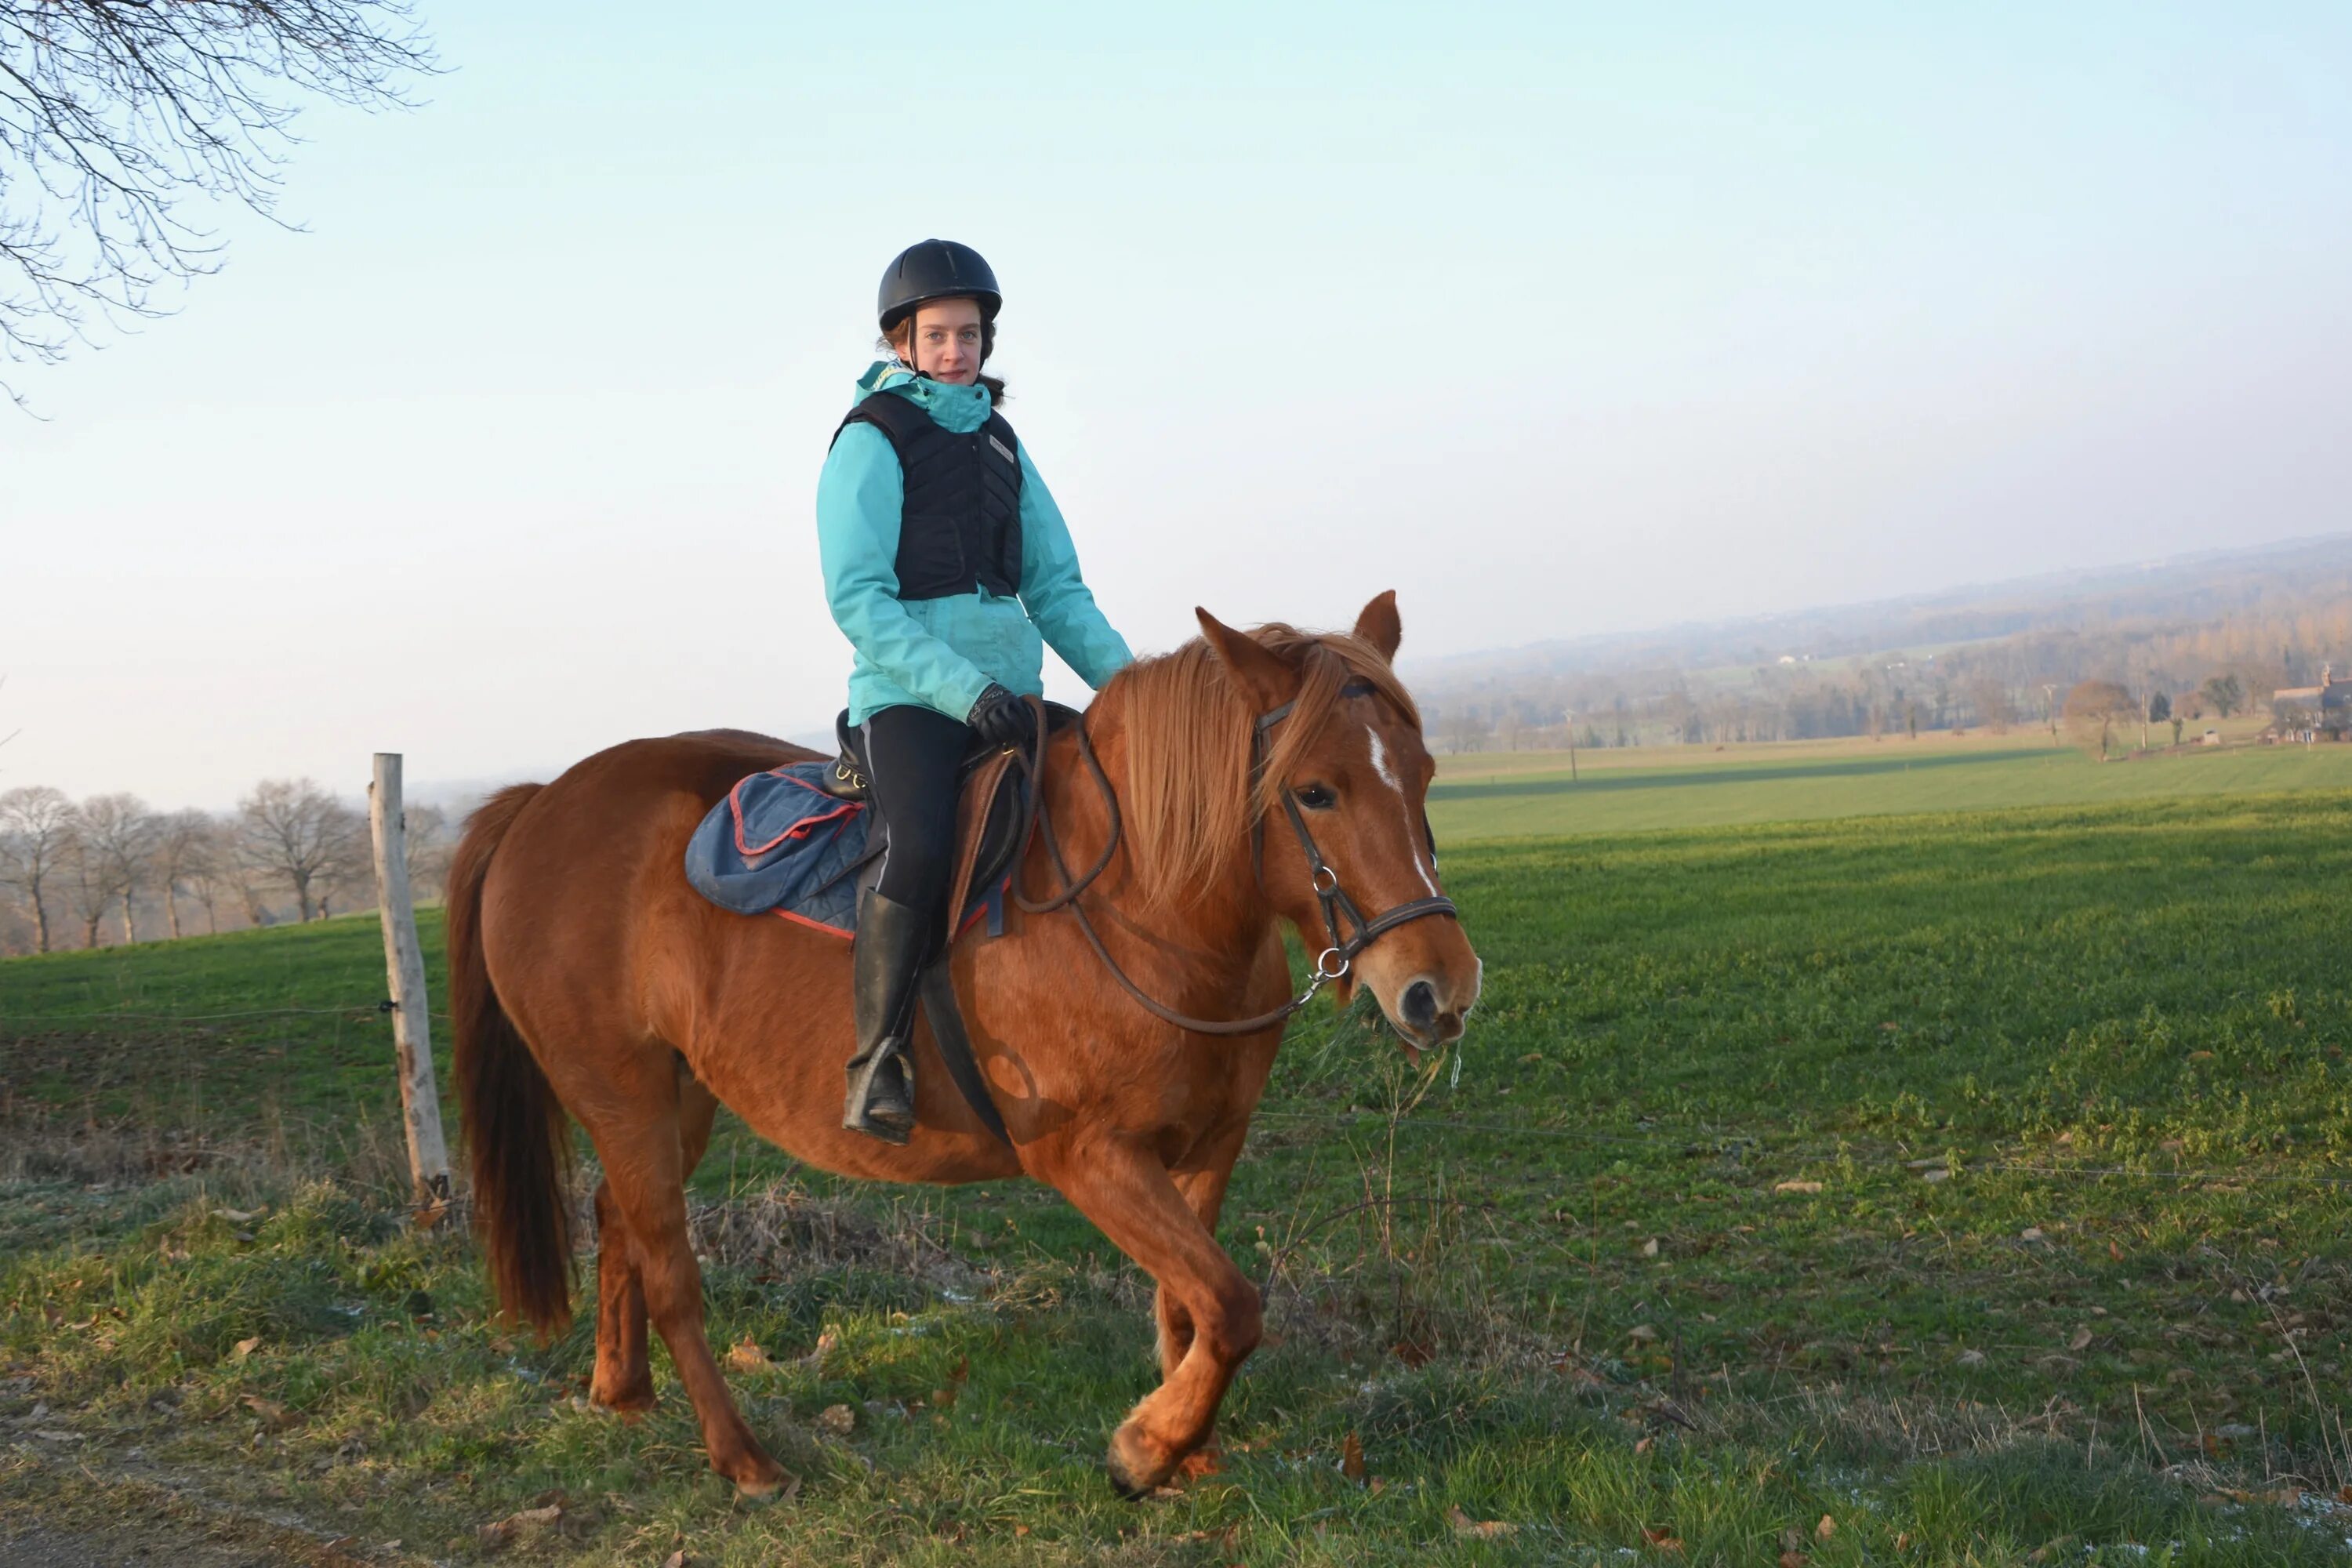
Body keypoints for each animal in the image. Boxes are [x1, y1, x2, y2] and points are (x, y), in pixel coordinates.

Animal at [447, 594, 1477, 1504]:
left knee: (612, 1216)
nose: (1442, 988)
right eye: (1314, 791)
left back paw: (621, 1390)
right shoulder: (1087, 1154)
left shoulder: (1208, 1146)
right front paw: (1145, 1447)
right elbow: (1231, 1303)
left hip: (678, 1094)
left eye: (1425, 773)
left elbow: (1190, 1305)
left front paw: (1188, 1448)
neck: (1145, 903)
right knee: (667, 1269)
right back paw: (743, 1457)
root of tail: (540, 803)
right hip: (618, 1091)